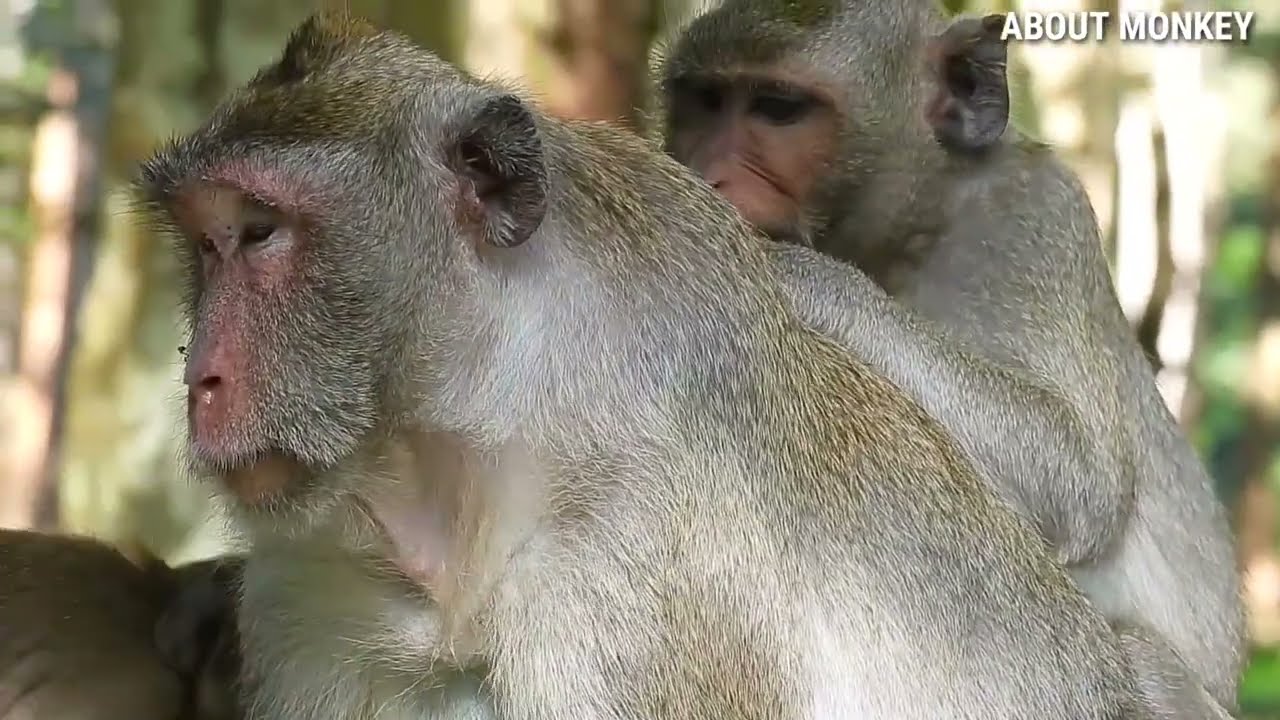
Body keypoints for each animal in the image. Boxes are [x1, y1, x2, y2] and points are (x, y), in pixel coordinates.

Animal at [658, 0, 1244, 715]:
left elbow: (1080, 482)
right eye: (704, 101)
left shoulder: (1031, 221)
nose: (704, 176)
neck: (917, 225)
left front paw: (800, 277)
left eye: (777, 108)